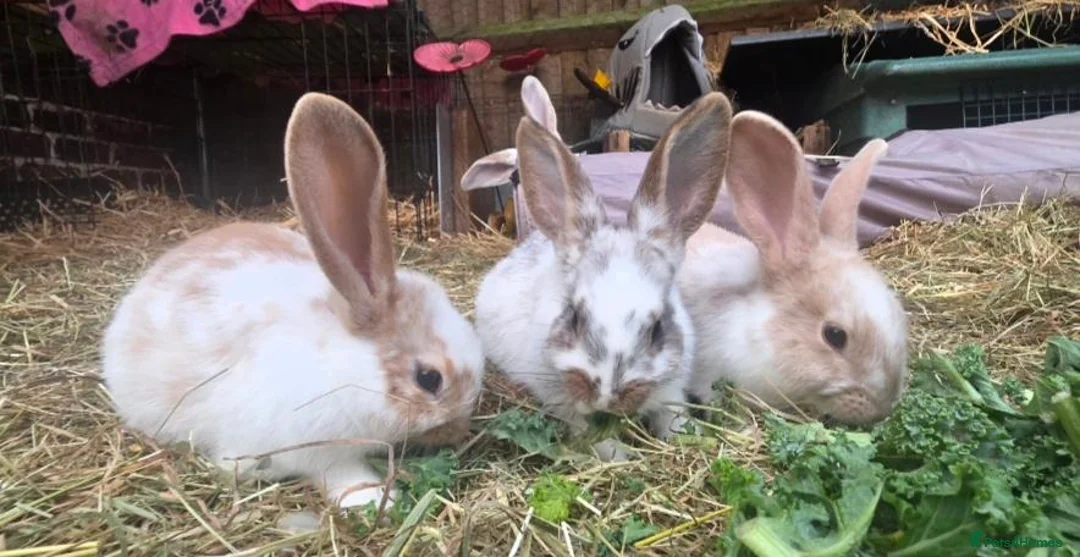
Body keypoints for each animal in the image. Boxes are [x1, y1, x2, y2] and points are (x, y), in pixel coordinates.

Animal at [100, 92, 486, 510]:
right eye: (429, 378)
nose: (459, 431)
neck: (341, 365)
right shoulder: (310, 449)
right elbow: (336, 471)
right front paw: (369, 495)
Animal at [473, 91, 734, 461]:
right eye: (575, 318)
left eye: (657, 328)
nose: (609, 396)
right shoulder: (562, 401)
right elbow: (595, 436)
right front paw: (620, 456)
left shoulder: (671, 388)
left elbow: (673, 417)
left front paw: (689, 436)